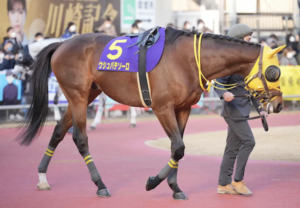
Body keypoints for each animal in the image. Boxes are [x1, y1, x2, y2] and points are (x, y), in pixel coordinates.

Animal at [16, 27, 284, 200]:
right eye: (273, 72)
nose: (280, 104)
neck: (187, 59)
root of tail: (62, 44)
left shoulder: (183, 108)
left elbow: (178, 146)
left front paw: (175, 187)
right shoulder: (162, 107)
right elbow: (178, 147)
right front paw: (153, 182)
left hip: (86, 95)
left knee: (58, 131)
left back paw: (42, 177)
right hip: (78, 96)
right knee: (79, 138)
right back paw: (100, 184)